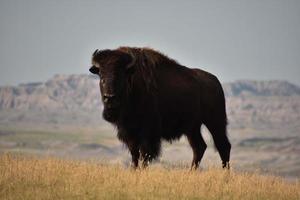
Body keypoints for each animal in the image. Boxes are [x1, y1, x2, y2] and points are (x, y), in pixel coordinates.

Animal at [88, 46, 231, 169]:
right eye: (101, 76)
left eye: (120, 75)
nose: (109, 97)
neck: (133, 84)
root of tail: (216, 82)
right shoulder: (129, 132)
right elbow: (134, 155)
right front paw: (133, 170)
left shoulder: (148, 133)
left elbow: (145, 156)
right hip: (192, 128)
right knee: (199, 147)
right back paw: (191, 172)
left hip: (215, 122)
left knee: (223, 146)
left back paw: (225, 175)